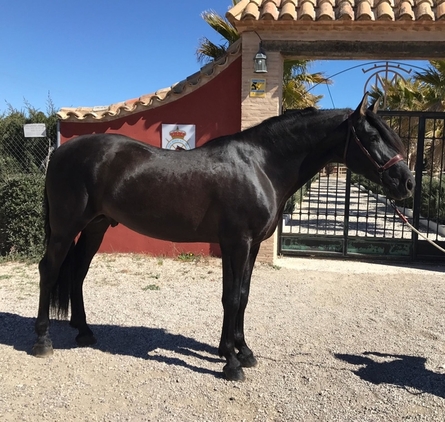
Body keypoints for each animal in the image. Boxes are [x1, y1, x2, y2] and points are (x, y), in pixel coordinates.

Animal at [33, 93, 412, 382]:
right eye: (373, 137)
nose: (406, 182)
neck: (261, 166)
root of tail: (61, 152)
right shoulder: (238, 243)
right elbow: (232, 298)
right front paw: (231, 364)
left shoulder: (248, 245)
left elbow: (240, 296)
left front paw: (240, 350)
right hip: (66, 228)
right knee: (49, 271)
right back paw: (42, 341)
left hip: (95, 226)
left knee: (78, 273)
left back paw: (84, 332)